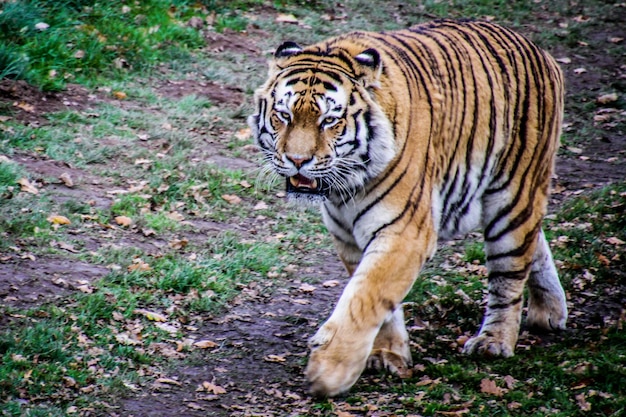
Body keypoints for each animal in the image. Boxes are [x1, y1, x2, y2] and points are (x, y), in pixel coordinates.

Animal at [247, 20, 564, 396]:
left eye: (329, 121)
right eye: (284, 115)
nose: (297, 160)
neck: (346, 186)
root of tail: (539, 49)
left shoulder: (404, 231)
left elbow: (365, 297)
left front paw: (329, 372)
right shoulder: (347, 236)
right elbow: (376, 299)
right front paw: (386, 354)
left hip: (512, 195)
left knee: (509, 273)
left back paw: (494, 342)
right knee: (535, 242)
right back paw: (549, 312)